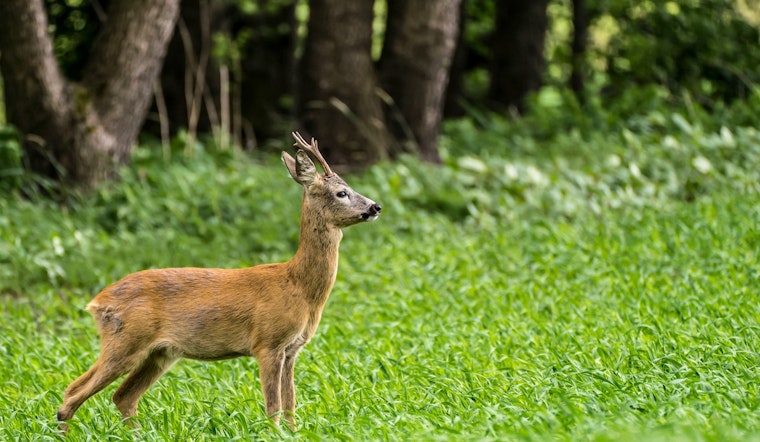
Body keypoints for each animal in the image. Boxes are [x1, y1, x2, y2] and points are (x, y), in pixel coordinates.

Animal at [56, 132, 381, 430]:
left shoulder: (291, 349)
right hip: (125, 340)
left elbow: (290, 405)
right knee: (73, 392)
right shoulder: (267, 342)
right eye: (341, 192)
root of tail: (97, 302)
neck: (298, 285)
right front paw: (275, 433)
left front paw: (292, 433)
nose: (375, 206)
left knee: (122, 396)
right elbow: (273, 407)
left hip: (160, 353)